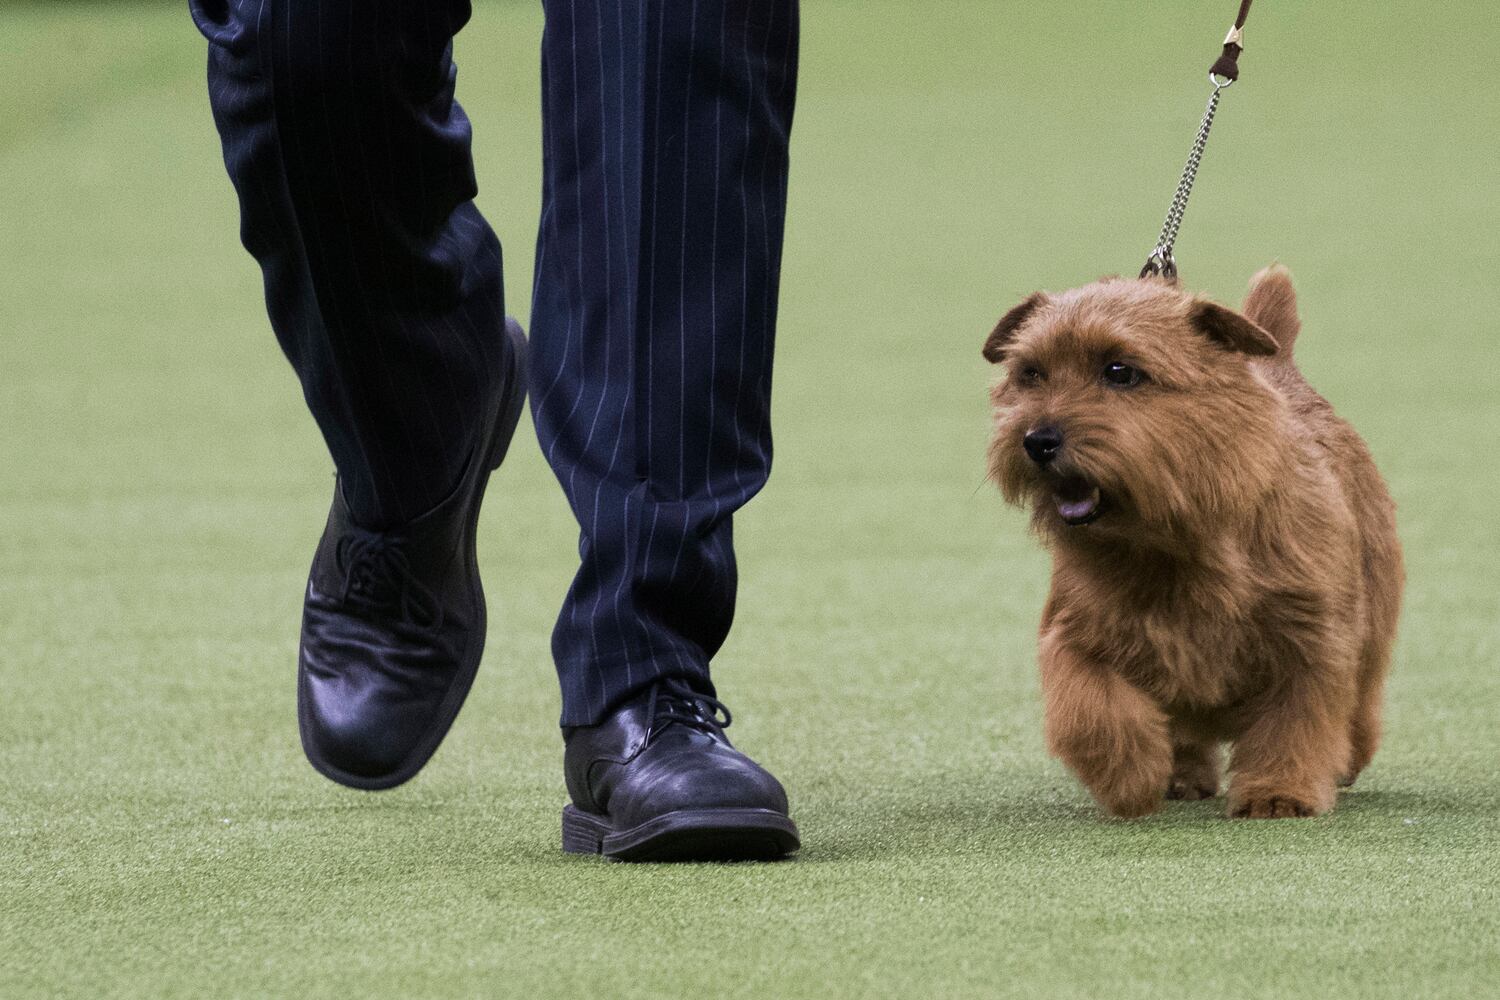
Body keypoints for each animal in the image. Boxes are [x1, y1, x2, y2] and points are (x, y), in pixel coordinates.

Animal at [984, 265, 1404, 821]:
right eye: (1030, 373)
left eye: (1119, 372)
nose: (1037, 440)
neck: (1174, 538)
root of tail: (1281, 371)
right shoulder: (1074, 634)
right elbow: (1091, 710)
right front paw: (1130, 775)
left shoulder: (1311, 638)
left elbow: (1297, 720)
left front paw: (1279, 792)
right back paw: (1179, 777)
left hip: (1372, 618)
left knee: (1361, 700)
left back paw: (1348, 758)